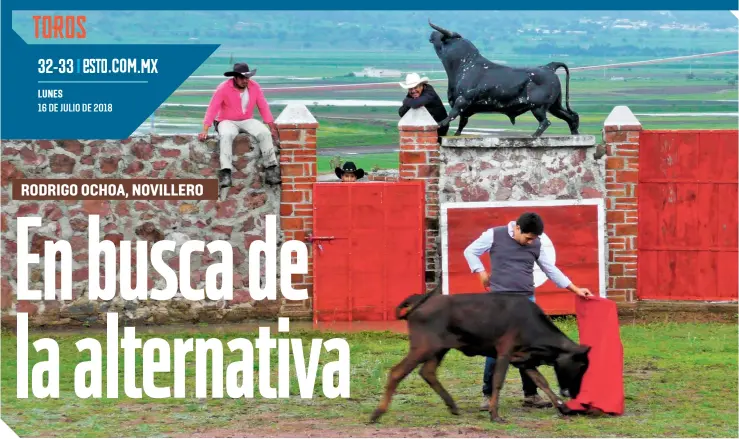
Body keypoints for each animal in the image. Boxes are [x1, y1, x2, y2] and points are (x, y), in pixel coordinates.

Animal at [430, 21, 580, 138]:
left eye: (442, 37)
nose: (432, 34)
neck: (465, 64)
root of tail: (549, 67)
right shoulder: (465, 108)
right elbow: (462, 122)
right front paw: (456, 134)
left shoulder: (462, 100)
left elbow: (451, 115)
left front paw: (440, 124)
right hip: (555, 105)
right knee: (571, 117)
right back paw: (574, 134)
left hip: (538, 106)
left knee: (545, 122)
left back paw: (533, 136)